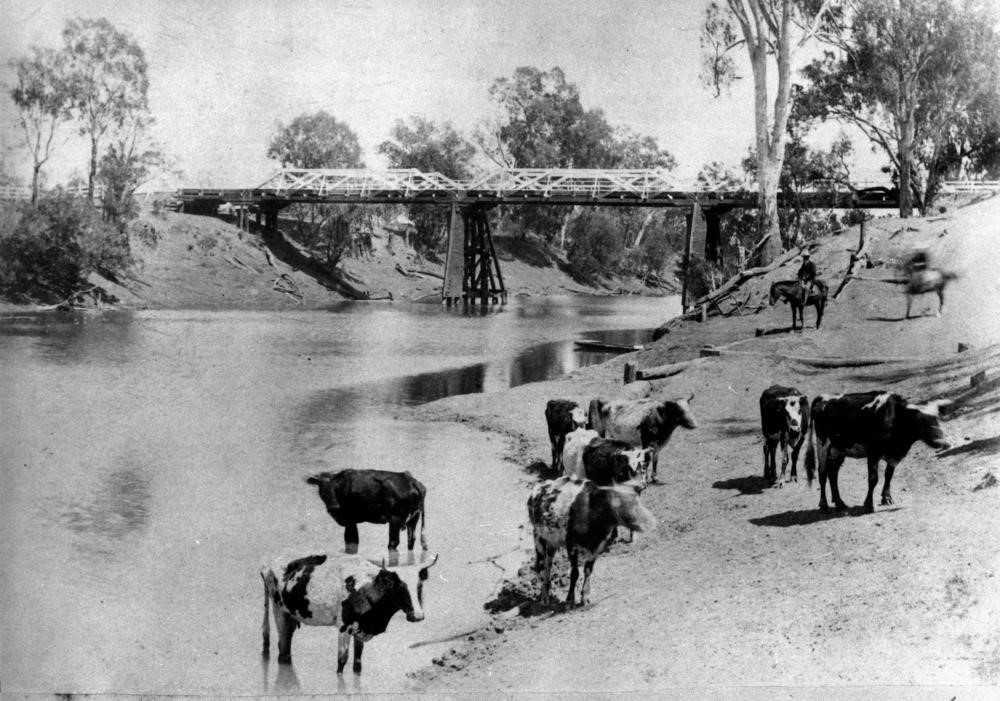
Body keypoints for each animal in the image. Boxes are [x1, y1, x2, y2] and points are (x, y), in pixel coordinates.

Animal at [262, 552, 438, 672]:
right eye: (399, 588)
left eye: (419, 586)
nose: (418, 616)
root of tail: (269, 564)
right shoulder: (344, 627)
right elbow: (342, 660)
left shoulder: (360, 629)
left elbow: (357, 661)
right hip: (279, 611)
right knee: (283, 649)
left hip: (290, 615)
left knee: (285, 648)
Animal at [528, 476, 660, 608]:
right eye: (625, 504)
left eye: (638, 501)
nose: (650, 522)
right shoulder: (572, 545)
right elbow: (574, 573)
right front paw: (570, 601)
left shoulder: (597, 547)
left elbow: (588, 570)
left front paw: (585, 597)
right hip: (538, 538)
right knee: (541, 567)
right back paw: (544, 597)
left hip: (552, 542)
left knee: (548, 565)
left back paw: (548, 592)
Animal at [804, 392, 952, 512]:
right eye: (920, 421)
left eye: (937, 419)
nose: (943, 442)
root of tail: (821, 398)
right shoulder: (873, 453)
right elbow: (873, 479)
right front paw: (869, 504)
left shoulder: (893, 456)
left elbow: (888, 476)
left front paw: (886, 498)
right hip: (823, 444)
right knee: (822, 473)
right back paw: (824, 505)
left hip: (839, 449)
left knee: (833, 473)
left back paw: (839, 503)